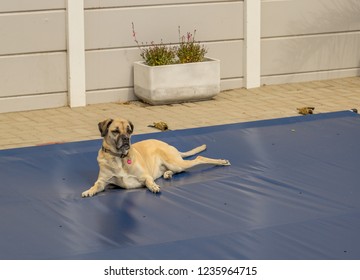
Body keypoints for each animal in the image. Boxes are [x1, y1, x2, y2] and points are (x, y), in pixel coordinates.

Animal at [82, 118, 231, 197]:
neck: (119, 157)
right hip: (175, 165)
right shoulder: (102, 181)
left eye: (129, 130)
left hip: (176, 162)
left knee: (199, 158)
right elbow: (96, 185)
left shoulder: (145, 176)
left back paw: (222, 161)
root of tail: (169, 145)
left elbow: (149, 182)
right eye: (115, 131)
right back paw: (168, 174)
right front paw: (89, 191)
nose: (126, 139)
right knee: (179, 170)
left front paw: (153, 186)